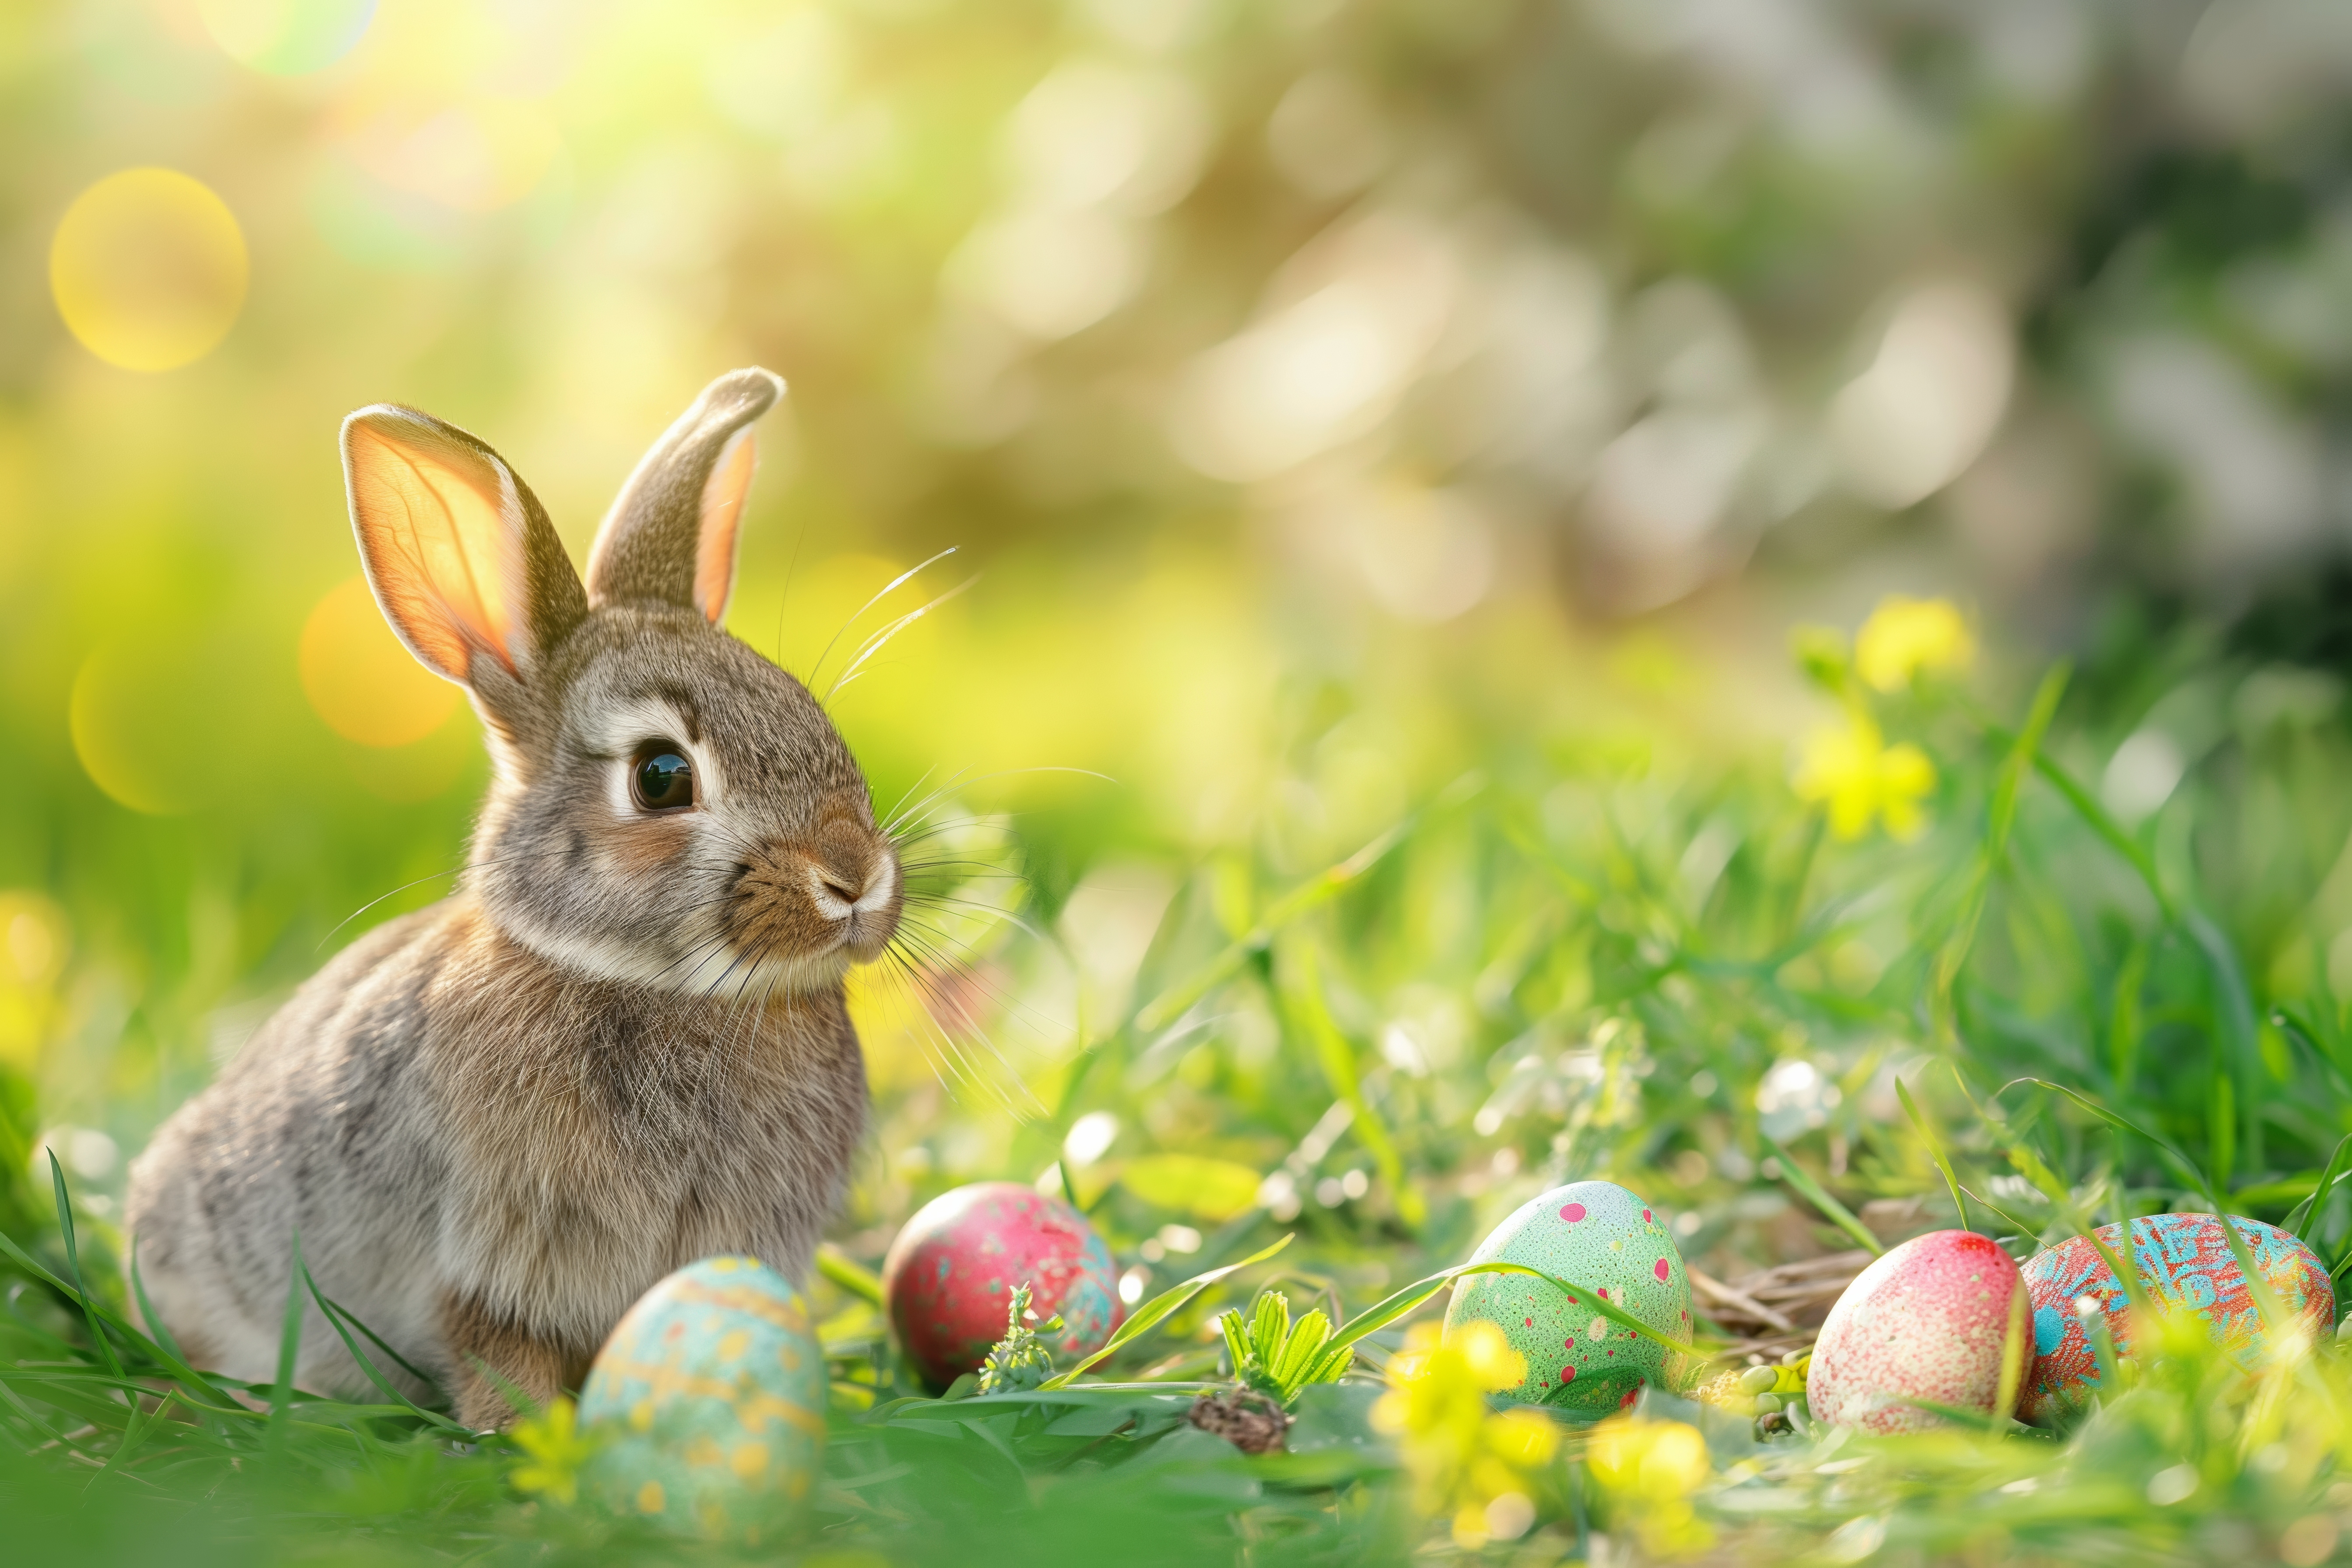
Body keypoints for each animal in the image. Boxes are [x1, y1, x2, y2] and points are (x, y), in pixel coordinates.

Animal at [125, 368, 904, 1430]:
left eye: (814, 713)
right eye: (662, 777)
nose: (855, 875)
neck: (658, 987)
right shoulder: (489, 1258)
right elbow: (497, 1351)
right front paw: (525, 1441)